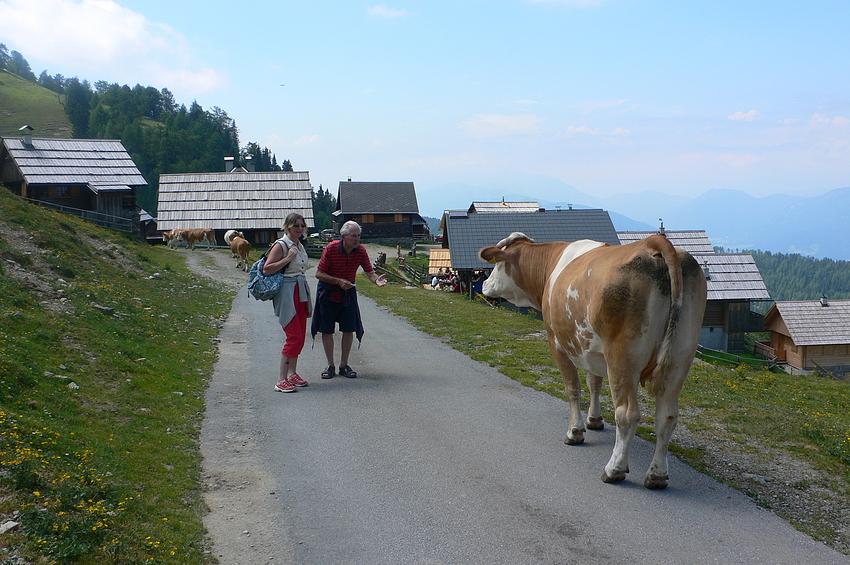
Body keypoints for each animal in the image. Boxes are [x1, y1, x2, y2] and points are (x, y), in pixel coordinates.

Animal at [480, 234, 704, 490]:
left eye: (497, 264)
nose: (484, 284)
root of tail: (653, 241)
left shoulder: (556, 342)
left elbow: (573, 389)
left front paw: (575, 432)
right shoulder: (593, 351)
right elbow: (593, 383)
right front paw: (594, 420)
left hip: (622, 357)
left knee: (627, 414)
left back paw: (614, 468)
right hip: (680, 358)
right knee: (667, 416)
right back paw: (657, 475)